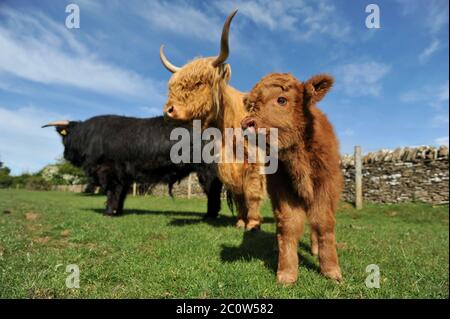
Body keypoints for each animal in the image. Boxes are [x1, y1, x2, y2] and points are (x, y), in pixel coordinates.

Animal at [158, 9, 264, 230]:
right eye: (173, 86)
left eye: (199, 83)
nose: (168, 110)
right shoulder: (229, 166)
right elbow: (239, 194)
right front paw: (240, 222)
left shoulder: (253, 161)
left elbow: (252, 192)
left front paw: (253, 224)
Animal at [241, 73, 342, 284]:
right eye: (252, 105)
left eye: (281, 100)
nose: (247, 124)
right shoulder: (281, 189)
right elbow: (288, 225)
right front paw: (287, 272)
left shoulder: (326, 186)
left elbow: (323, 223)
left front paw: (331, 269)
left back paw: (315, 249)